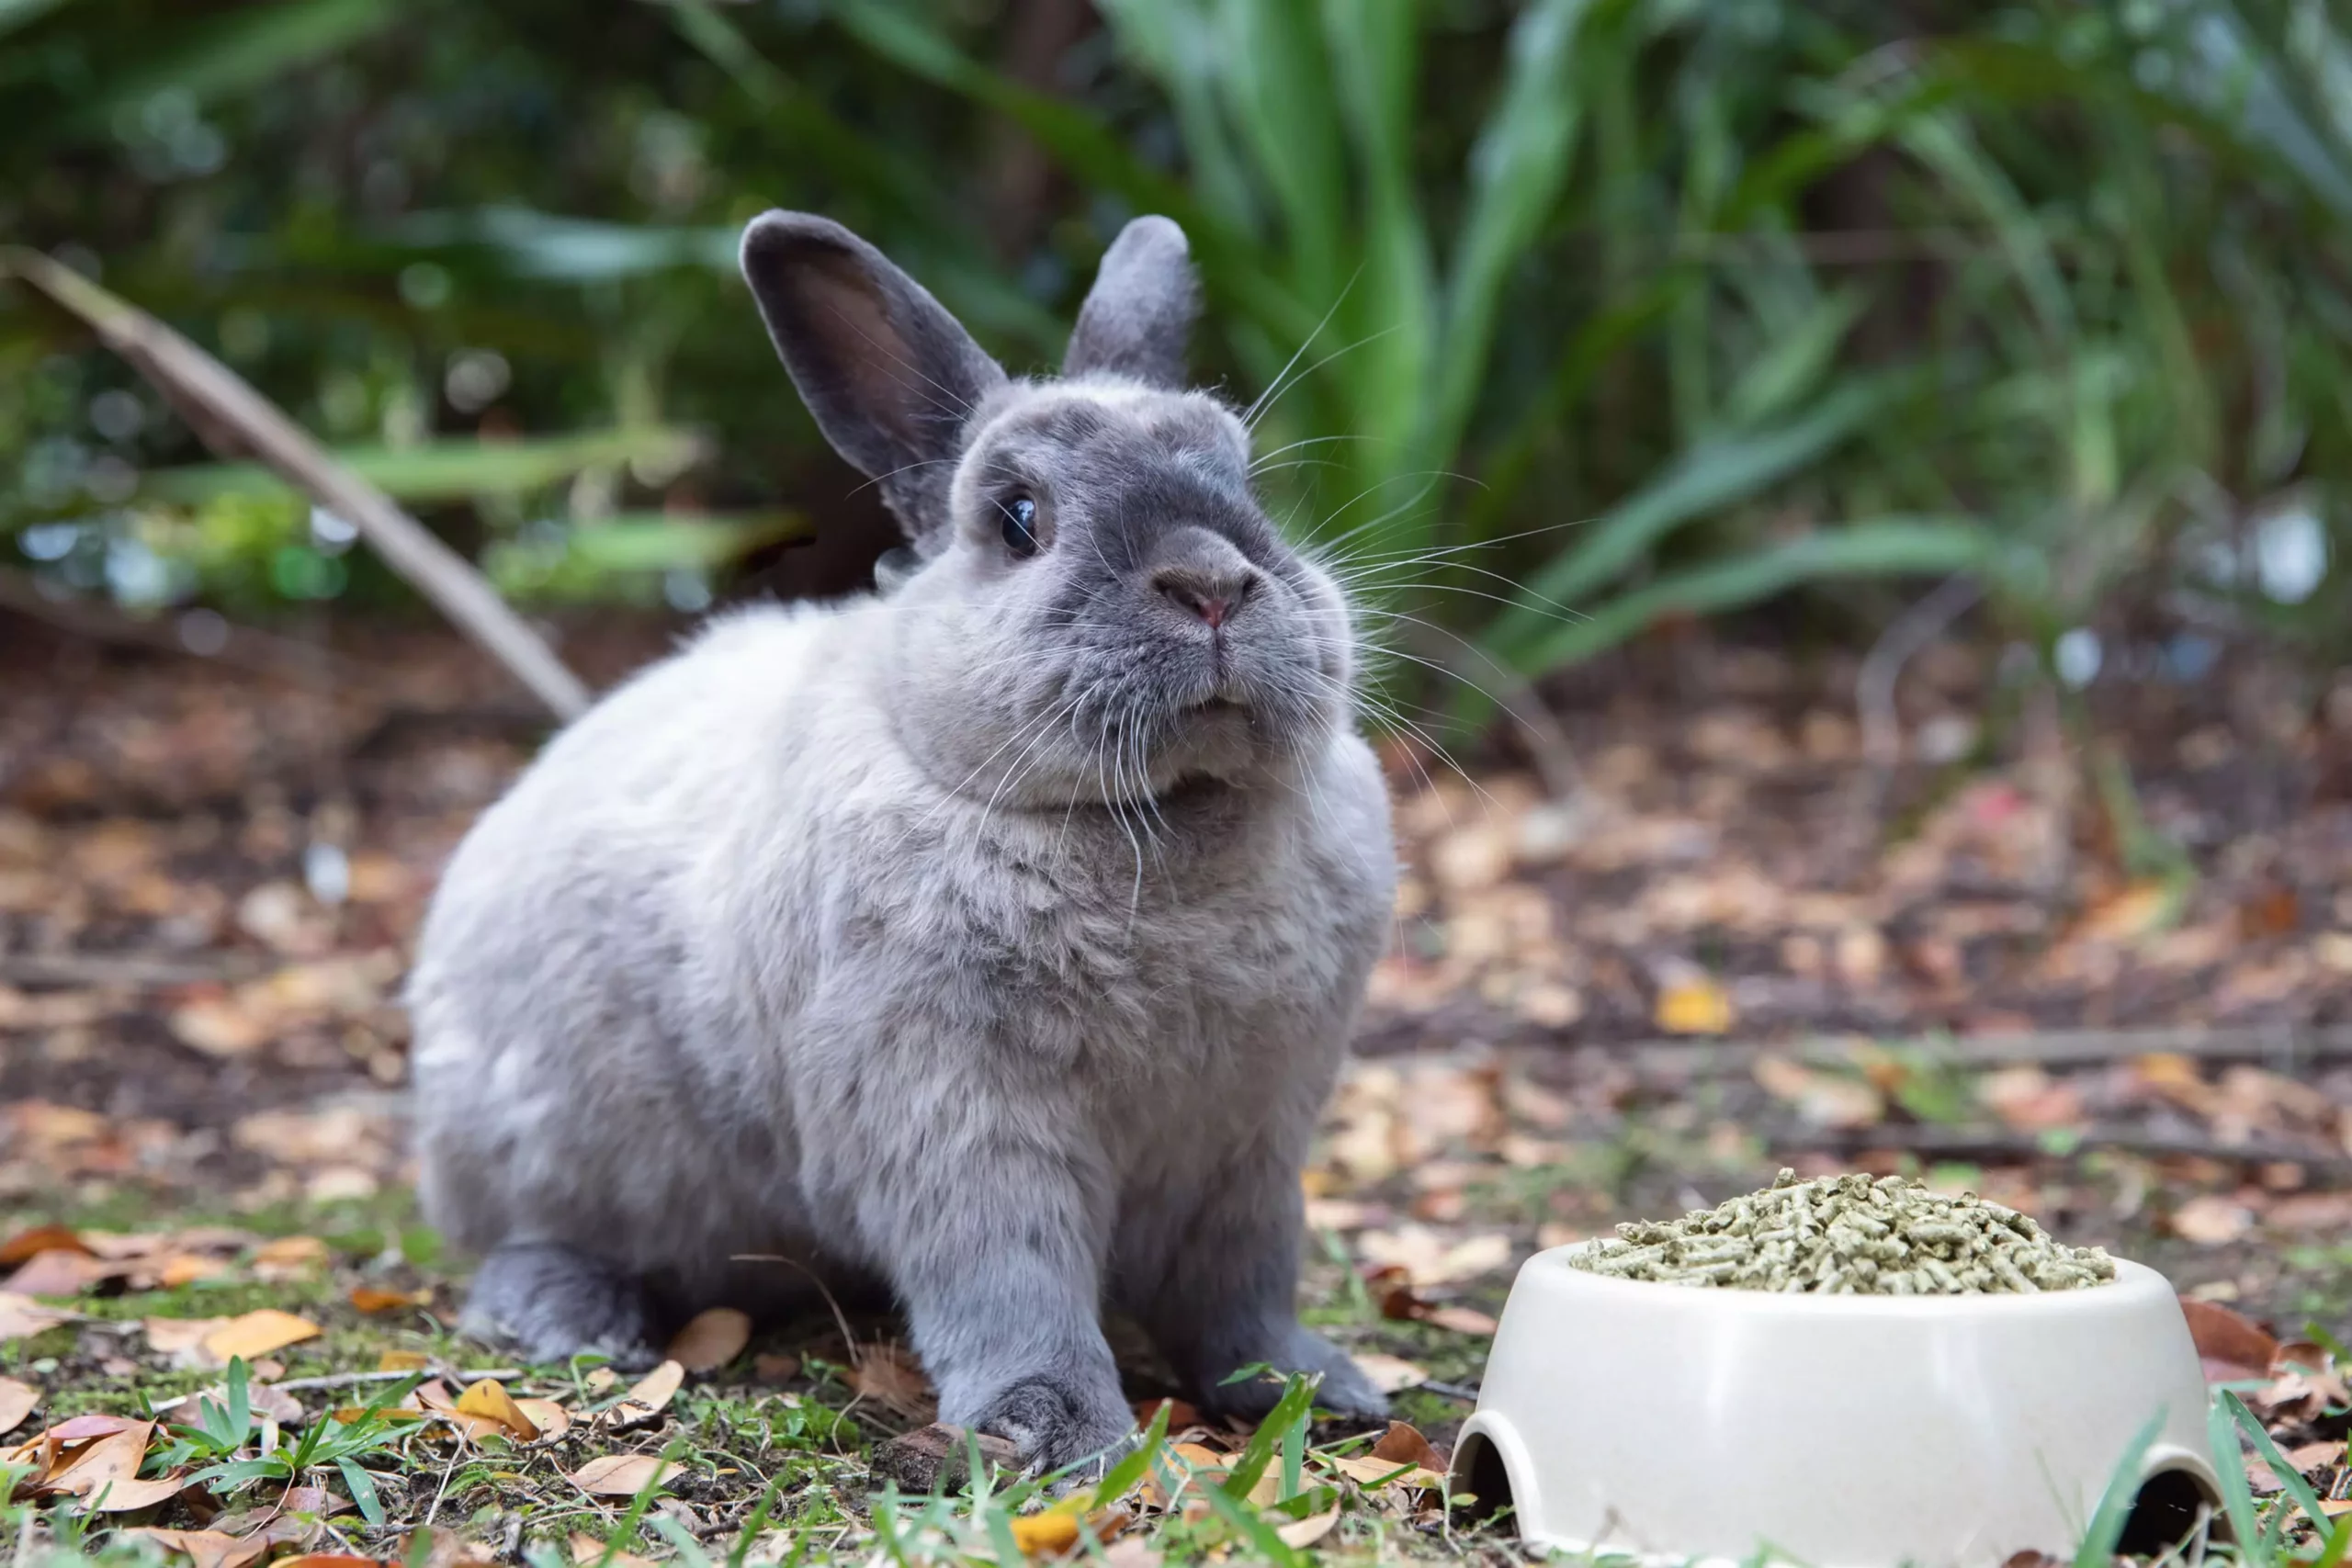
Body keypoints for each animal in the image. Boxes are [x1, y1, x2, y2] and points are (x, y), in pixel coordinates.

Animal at [404, 205, 1392, 1476]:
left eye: (1246, 479)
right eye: (1018, 518)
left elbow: (1244, 1290)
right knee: (524, 1243)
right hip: (544, 1157)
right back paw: (577, 1321)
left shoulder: (1247, 1146)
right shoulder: (957, 1122)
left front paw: (1314, 1390)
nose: (1214, 582)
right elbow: (1010, 1283)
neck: (1156, 827)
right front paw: (1059, 1432)